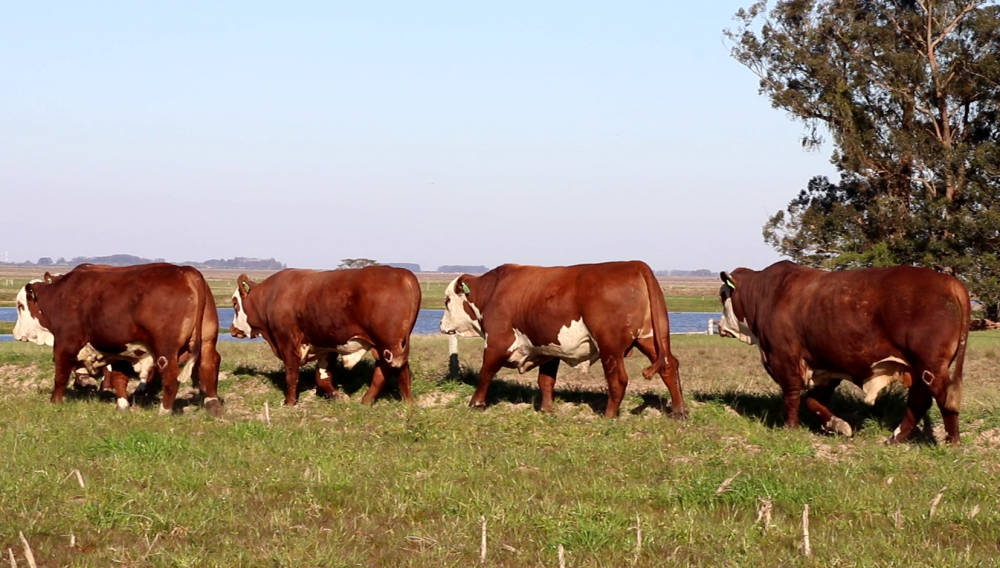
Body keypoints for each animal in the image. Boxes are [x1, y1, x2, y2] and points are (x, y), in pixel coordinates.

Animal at [14, 264, 221, 414]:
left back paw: (165, 410)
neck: (61, 295)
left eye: (20, 306)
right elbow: (118, 377)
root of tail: (186, 271)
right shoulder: (121, 350)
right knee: (209, 363)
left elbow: (61, 374)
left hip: (166, 350)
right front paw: (122, 405)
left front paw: (55, 401)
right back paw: (212, 403)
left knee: (170, 375)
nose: (15, 333)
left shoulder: (65, 343)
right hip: (207, 341)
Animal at [230, 266, 422, 404]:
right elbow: (322, 377)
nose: (232, 329)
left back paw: (403, 403)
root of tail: (402, 273)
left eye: (234, 303)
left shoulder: (287, 341)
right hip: (386, 345)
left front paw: (289, 403)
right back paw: (377, 402)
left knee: (396, 369)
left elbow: (291, 374)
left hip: (389, 344)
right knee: (389, 371)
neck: (270, 296)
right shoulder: (326, 345)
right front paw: (339, 396)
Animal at [438, 262, 688, 418]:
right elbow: (546, 381)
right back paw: (680, 411)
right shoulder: (549, 350)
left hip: (610, 347)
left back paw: (608, 416)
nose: (440, 325)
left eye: (447, 300)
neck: (493, 291)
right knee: (669, 366)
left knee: (618, 379)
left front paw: (476, 403)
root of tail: (634, 264)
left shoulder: (498, 342)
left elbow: (486, 373)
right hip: (650, 339)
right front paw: (547, 410)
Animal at [720, 262, 968, 444]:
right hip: (918, 368)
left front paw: (791, 428)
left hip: (930, 366)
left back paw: (952, 442)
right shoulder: (826, 367)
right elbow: (813, 402)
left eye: (723, 295)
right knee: (920, 400)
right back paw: (895, 439)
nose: (721, 326)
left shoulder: (783, 358)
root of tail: (948, 281)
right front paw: (839, 425)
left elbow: (792, 396)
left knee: (943, 397)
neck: (765, 294)